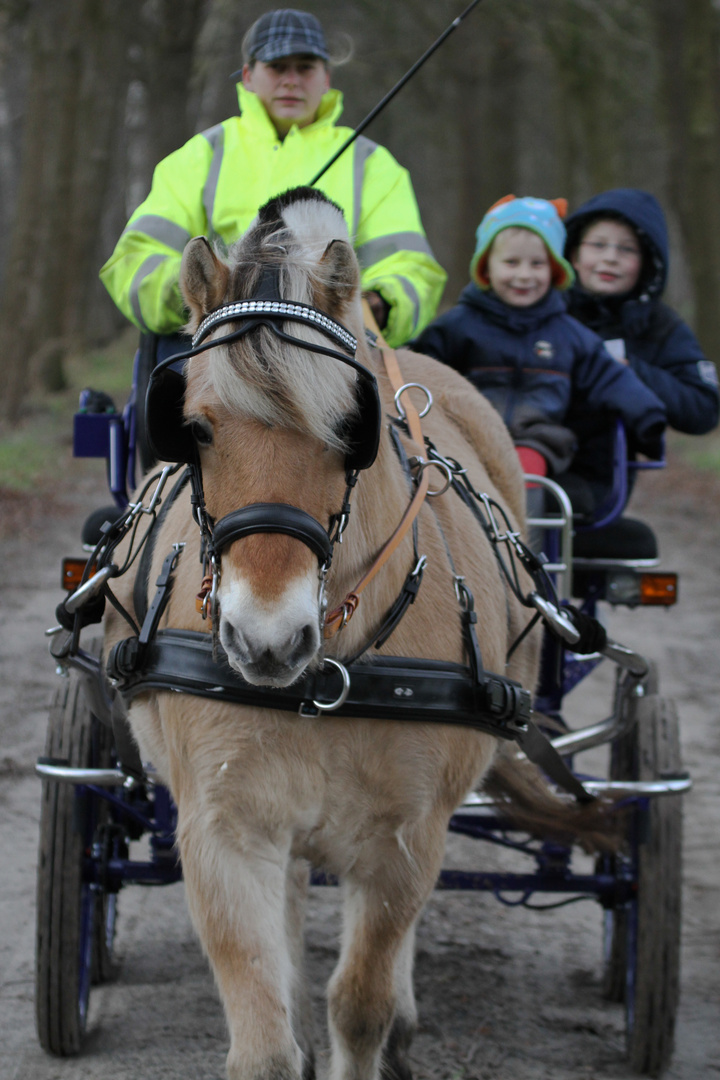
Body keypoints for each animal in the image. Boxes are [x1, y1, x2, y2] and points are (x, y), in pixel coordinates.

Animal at [105, 192, 539, 1080]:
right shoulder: (223, 828)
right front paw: (287, 1029)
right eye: (193, 428)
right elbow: (263, 1035)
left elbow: (362, 1004)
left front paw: (377, 1019)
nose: (266, 638)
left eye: (351, 426)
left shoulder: (407, 837)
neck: (324, 682)